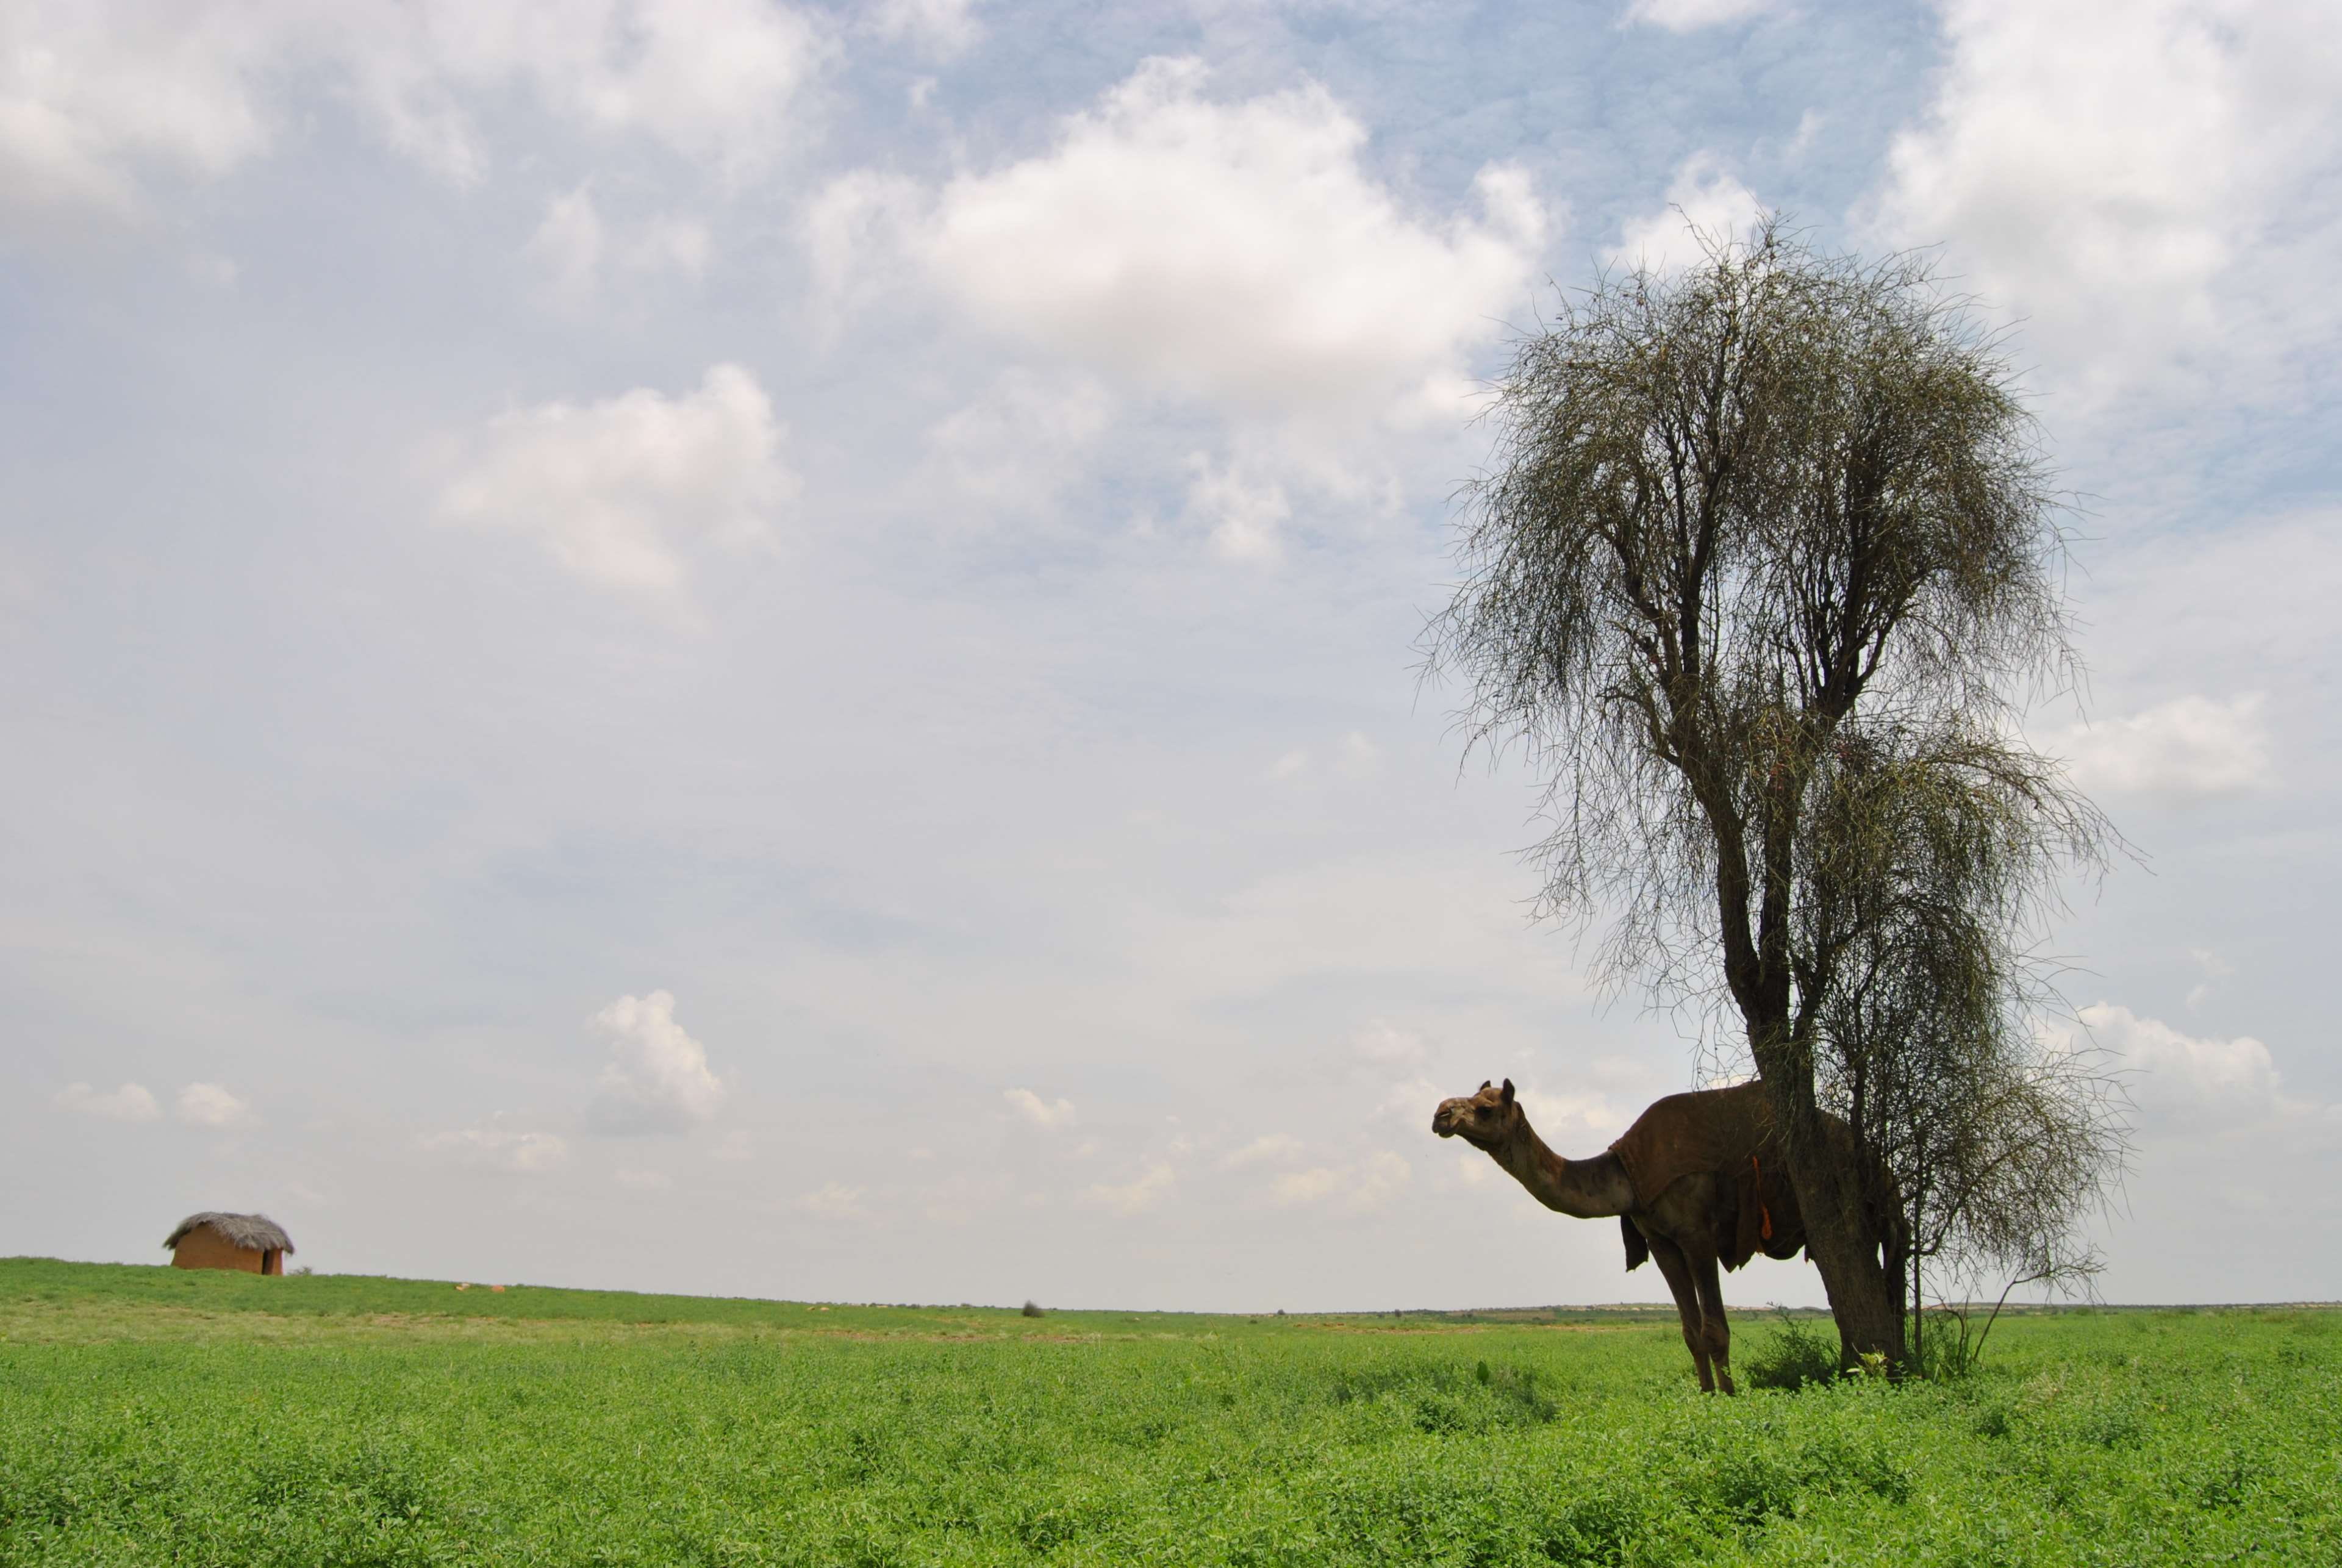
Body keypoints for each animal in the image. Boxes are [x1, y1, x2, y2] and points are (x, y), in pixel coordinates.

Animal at [1433, 1077, 1859, 1394]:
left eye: (1486, 1108)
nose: (1441, 1114)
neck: (1627, 1174)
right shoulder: (1660, 1241)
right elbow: (1690, 1332)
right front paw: (1707, 1397)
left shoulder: (1696, 1234)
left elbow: (1715, 1329)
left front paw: (1731, 1401)